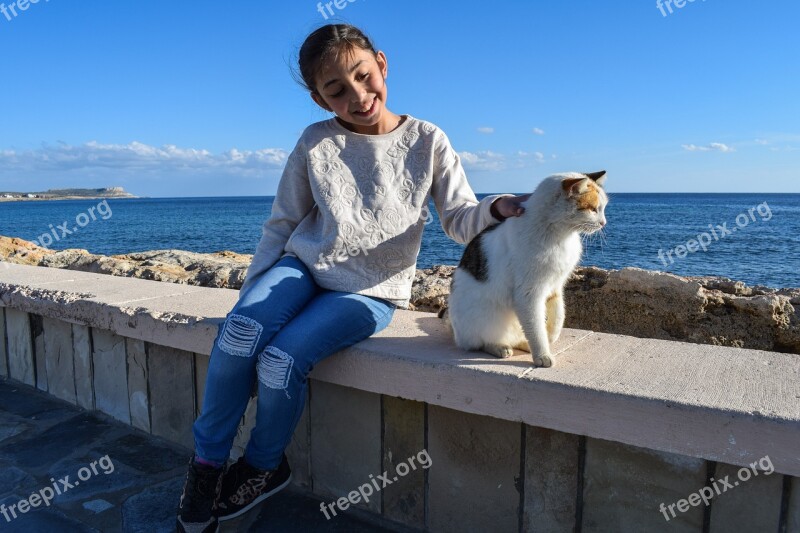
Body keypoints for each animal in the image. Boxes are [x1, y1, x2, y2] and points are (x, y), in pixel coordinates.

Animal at [444, 170, 608, 366]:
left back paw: (524, 344)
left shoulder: (556, 286)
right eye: (593, 209)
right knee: (480, 342)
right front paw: (542, 355)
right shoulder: (529, 293)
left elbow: (558, 316)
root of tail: (455, 330)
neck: (560, 235)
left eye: (603, 208)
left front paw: (551, 337)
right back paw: (500, 347)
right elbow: (536, 328)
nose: (604, 222)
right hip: (482, 320)